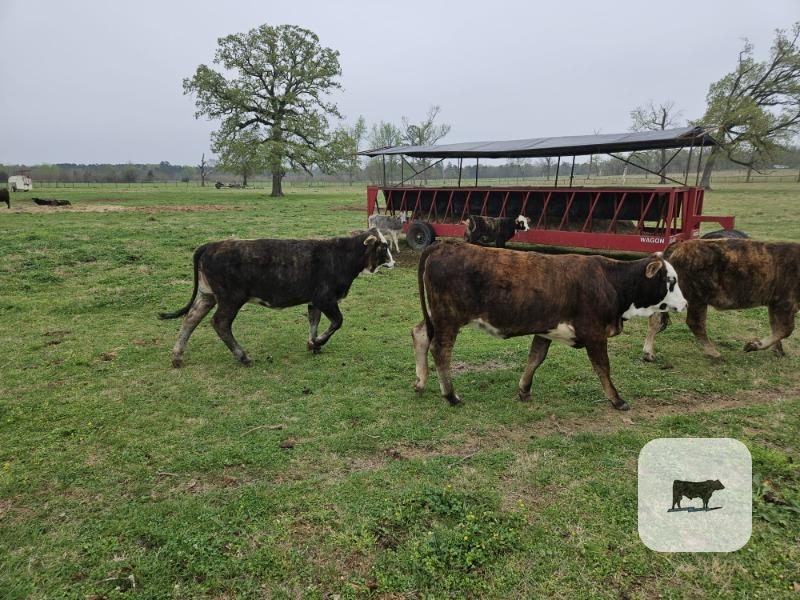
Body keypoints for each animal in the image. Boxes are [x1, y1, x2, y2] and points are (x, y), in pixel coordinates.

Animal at [159, 229, 394, 367]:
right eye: (383, 246)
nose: (393, 262)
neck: (341, 256)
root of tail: (212, 245)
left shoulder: (314, 301)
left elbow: (314, 321)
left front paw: (313, 344)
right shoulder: (326, 298)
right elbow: (337, 322)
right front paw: (318, 342)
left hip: (207, 295)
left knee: (191, 319)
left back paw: (177, 356)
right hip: (230, 299)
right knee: (220, 323)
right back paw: (242, 356)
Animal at [411, 242, 687, 410]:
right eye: (671, 281)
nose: (685, 303)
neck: (611, 282)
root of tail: (445, 244)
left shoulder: (545, 329)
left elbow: (535, 359)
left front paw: (524, 390)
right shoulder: (595, 334)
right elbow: (603, 368)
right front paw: (616, 399)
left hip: (436, 317)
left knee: (420, 334)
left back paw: (421, 382)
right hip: (448, 319)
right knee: (440, 351)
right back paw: (451, 395)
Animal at [642, 238, 800, 362]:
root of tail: (679, 246)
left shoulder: (775, 304)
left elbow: (776, 326)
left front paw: (778, 350)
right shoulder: (786, 302)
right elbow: (786, 329)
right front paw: (753, 345)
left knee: (655, 320)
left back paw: (648, 353)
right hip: (697, 298)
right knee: (695, 323)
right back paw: (714, 353)